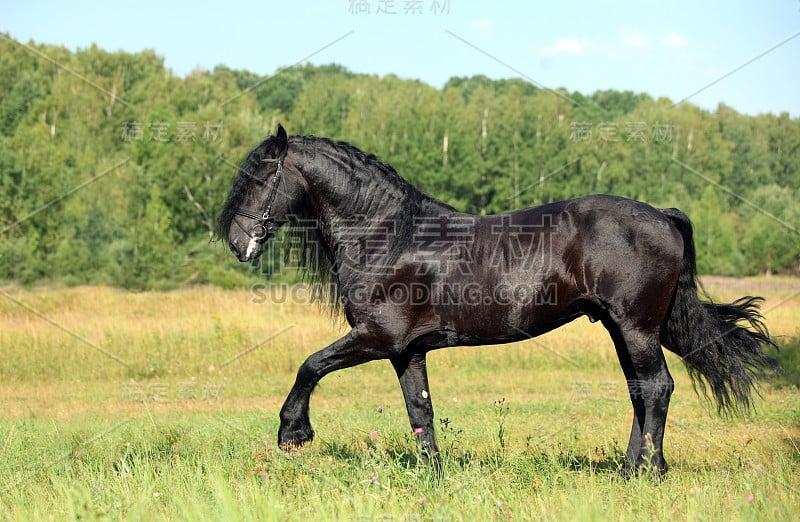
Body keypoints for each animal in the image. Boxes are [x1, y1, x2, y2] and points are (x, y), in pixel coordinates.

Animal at [217, 124, 776, 474]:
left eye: (262, 177)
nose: (238, 242)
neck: (388, 234)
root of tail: (663, 215)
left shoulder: (378, 336)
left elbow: (310, 365)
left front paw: (293, 433)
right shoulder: (406, 350)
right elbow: (420, 411)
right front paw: (433, 474)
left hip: (636, 327)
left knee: (657, 388)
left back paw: (649, 470)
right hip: (622, 329)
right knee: (641, 391)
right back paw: (627, 468)